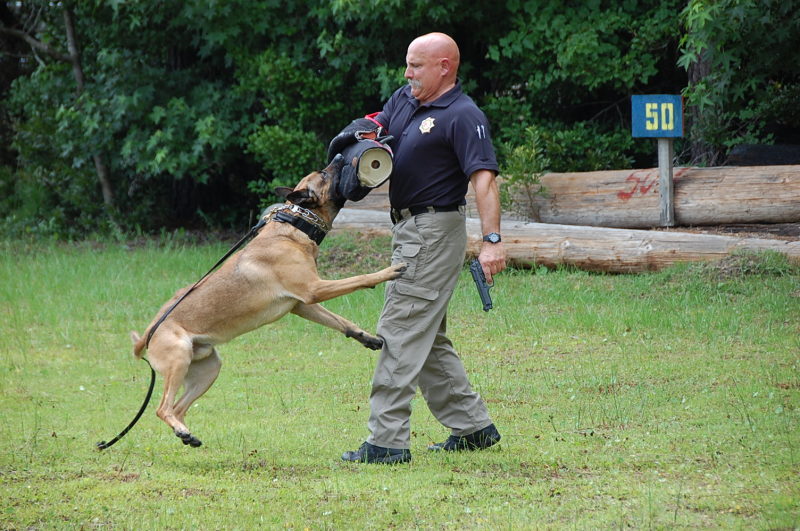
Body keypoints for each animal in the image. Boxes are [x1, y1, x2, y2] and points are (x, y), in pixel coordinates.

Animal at [133, 156, 406, 450]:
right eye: (323, 173)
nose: (339, 157)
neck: (295, 225)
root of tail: (148, 334)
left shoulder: (302, 304)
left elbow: (341, 322)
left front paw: (366, 337)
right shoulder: (313, 290)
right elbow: (360, 278)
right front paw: (387, 272)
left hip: (208, 369)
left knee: (178, 408)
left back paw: (186, 433)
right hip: (179, 359)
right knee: (162, 408)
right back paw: (180, 429)